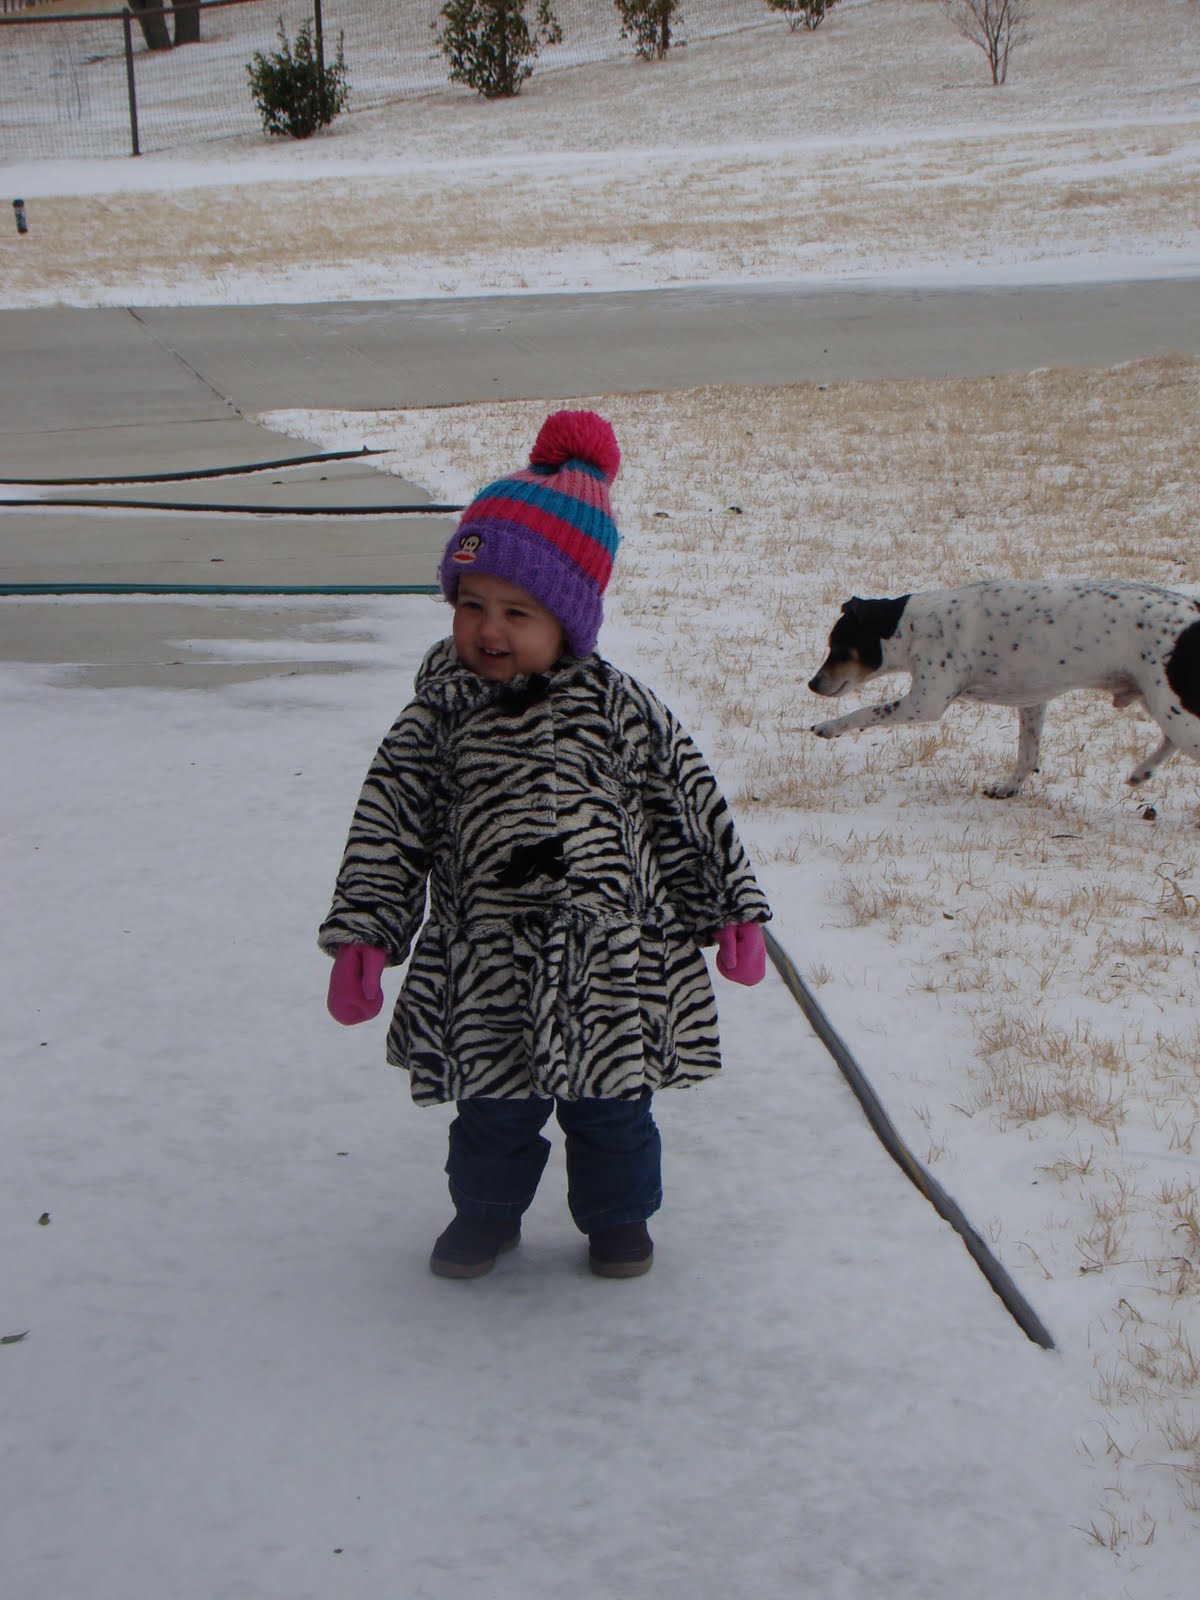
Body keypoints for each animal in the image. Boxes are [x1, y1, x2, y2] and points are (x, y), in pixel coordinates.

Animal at [808, 578, 1200, 798]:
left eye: (838, 647)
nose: (812, 684)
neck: (912, 624)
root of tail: (1195, 613)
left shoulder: (924, 702)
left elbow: (865, 712)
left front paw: (830, 727)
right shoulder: (1032, 702)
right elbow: (1028, 755)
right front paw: (1009, 788)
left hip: (1171, 705)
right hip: (1160, 701)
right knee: (1168, 741)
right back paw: (1141, 773)